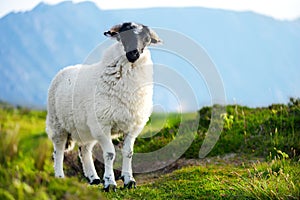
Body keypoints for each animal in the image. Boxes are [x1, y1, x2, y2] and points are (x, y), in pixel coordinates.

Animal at [45, 22, 162, 192]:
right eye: (124, 35)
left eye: (146, 39)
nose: (133, 54)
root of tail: (64, 70)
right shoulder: (102, 124)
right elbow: (109, 154)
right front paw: (110, 183)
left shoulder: (133, 126)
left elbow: (128, 152)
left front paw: (129, 181)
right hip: (58, 124)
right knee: (58, 151)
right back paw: (60, 177)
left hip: (85, 128)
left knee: (84, 150)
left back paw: (93, 178)